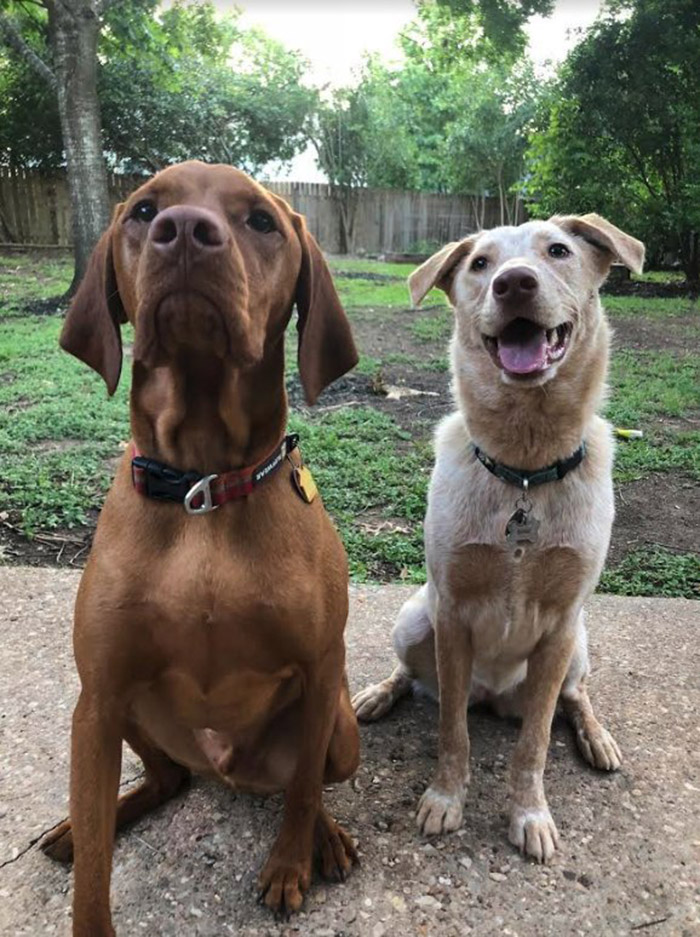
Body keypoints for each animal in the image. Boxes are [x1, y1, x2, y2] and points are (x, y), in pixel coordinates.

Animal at [39, 161, 360, 928]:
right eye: (143, 208)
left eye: (262, 221)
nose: (183, 229)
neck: (203, 487)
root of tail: (227, 770)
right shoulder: (99, 697)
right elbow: (94, 877)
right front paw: (89, 865)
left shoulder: (320, 668)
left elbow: (303, 790)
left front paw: (289, 863)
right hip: (120, 712)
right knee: (165, 778)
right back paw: (88, 824)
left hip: (339, 724)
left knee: (301, 783)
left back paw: (325, 838)